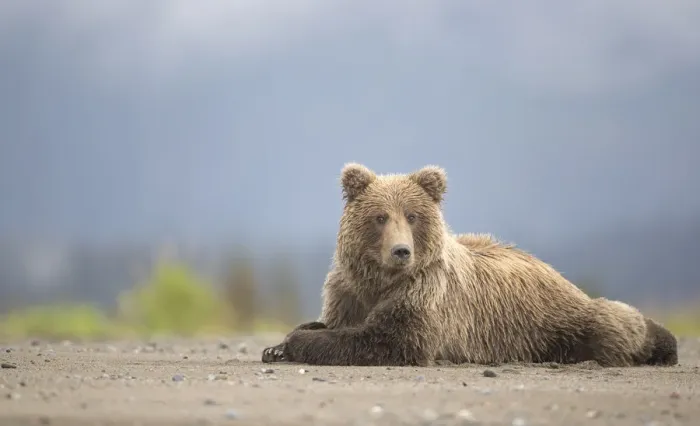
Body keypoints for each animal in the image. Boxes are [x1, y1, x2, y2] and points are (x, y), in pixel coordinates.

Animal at [261, 163, 678, 367]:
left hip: (557, 319)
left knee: (612, 322)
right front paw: (280, 344)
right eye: (380, 217)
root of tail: (547, 267)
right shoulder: (347, 291)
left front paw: (296, 342)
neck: (381, 281)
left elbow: (391, 339)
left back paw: (664, 346)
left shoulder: (427, 294)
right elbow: (336, 320)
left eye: (412, 215)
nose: (401, 251)